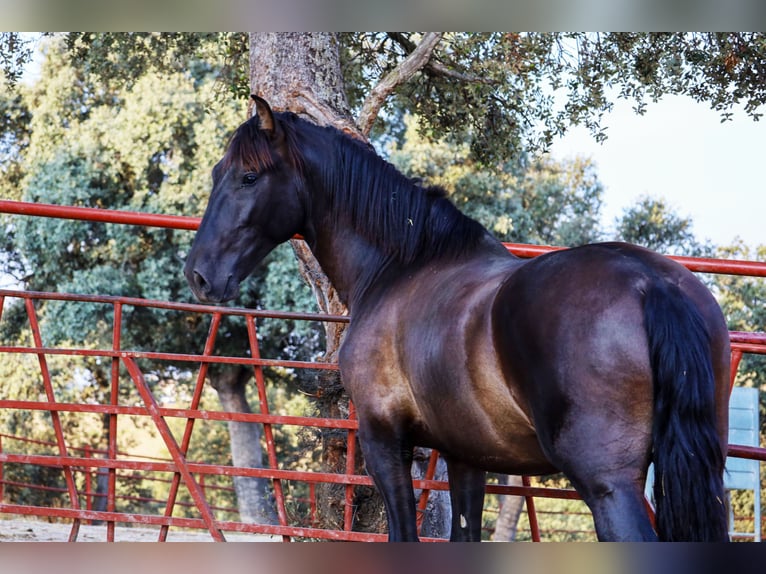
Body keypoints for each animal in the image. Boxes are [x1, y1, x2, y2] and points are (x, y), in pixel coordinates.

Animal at [184, 97, 732, 544]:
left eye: (249, 176)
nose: (200, 275)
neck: (401, 266)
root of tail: (650, 282)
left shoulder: (385, 439)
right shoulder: (467, 456)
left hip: (609, 486)